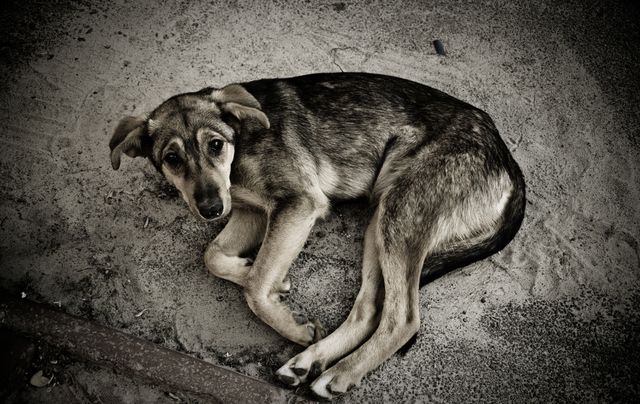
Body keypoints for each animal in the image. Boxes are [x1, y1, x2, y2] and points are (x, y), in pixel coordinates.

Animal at [110, 72, 524, 398]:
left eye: (215, 145)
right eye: (172, 159)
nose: (210, 209)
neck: (241, 140)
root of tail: (507, 158)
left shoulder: (298, 204)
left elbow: (255, 287)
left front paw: (287, 319)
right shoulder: (250, 212)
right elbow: (213, 255)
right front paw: (263, 276)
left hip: (401, 214)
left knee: (402, 317)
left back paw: (339, 373)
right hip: (380, 218)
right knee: (370, 309)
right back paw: (310, 361)